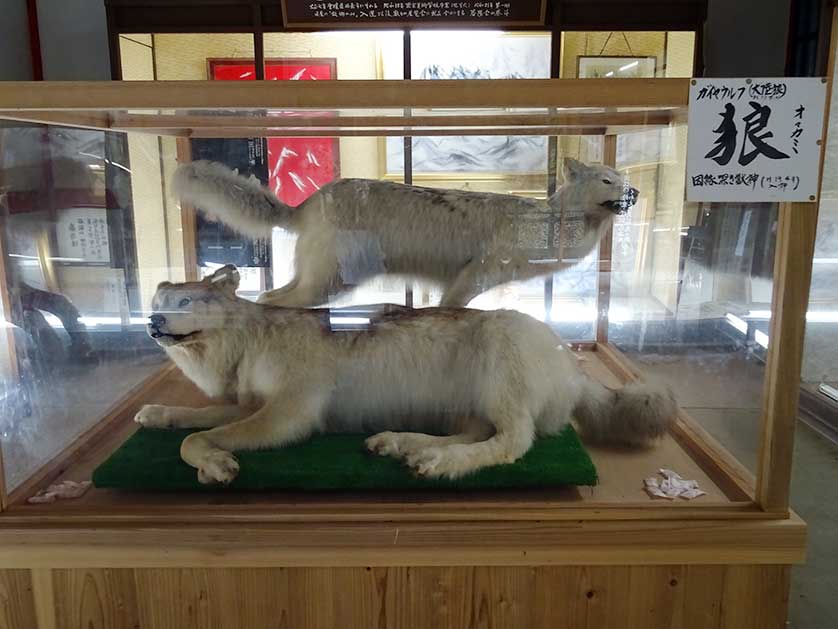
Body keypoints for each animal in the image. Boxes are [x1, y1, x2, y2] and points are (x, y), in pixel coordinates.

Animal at [136, 262, 676, 484]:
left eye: (185, 303)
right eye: (157, 301)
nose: (152, 321)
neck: (251, 341)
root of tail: (571, 363)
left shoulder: (287, 417)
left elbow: (196, 439)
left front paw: (216, 464)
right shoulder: (251, 406)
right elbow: (191, 420)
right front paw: (156, 413)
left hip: (501, 355)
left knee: (512, 444)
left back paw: (437, 463)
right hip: (471, 407)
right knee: (476, 435)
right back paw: (402, 446)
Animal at [174, 158, 640, 308]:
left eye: (623, 179)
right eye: (606, 181)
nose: (634, 192)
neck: (549, 222)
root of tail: (311, 200)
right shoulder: (475, 276)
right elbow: (453, 311)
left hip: (317, 280)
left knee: (271, 296)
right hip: (333, 283)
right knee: (274, 302)